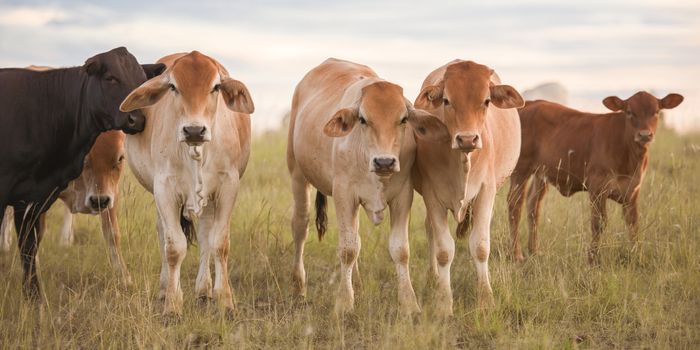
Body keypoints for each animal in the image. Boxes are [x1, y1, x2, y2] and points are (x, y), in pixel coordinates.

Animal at [0, 46, 165, 298]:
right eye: (110, 78)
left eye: (120, 159)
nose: (136, 119)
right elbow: (32, 242)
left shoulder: (110, 192)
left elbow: (112, 233)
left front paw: (125, 278)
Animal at [119, 50, 253, 320]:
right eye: (173, 87)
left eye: (216, 87)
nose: (193, 130)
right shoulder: (164, 189)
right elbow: (174, 248)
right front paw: (172, 305)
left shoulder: (228, 186)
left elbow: (219, 244)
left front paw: (226, 302)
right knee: (163, 234)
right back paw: (165, 290)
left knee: (205, 236)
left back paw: (204, 290)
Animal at [412, 58, 524, 316]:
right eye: (446, 100)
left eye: (486, 101)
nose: (467, 139)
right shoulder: (432, 196)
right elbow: (444, 251)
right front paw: (444, 302)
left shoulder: (486, 192)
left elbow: (480, 246)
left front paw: (485, 299)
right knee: (430, 231)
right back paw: (433, 277)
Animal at [508, 91, 684, 264]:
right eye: (629, 112)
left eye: (656, 112)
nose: (645, 135)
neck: (629, 157)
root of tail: (530, 103)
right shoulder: (597, 187)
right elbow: (598, 223)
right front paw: (592, 259)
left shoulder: (633, 190)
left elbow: (633, 223)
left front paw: (638, 258)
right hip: (520, 169)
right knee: (514, 205)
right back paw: (516, 254)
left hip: (541, 173)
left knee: (533, 205)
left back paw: (534, 251)